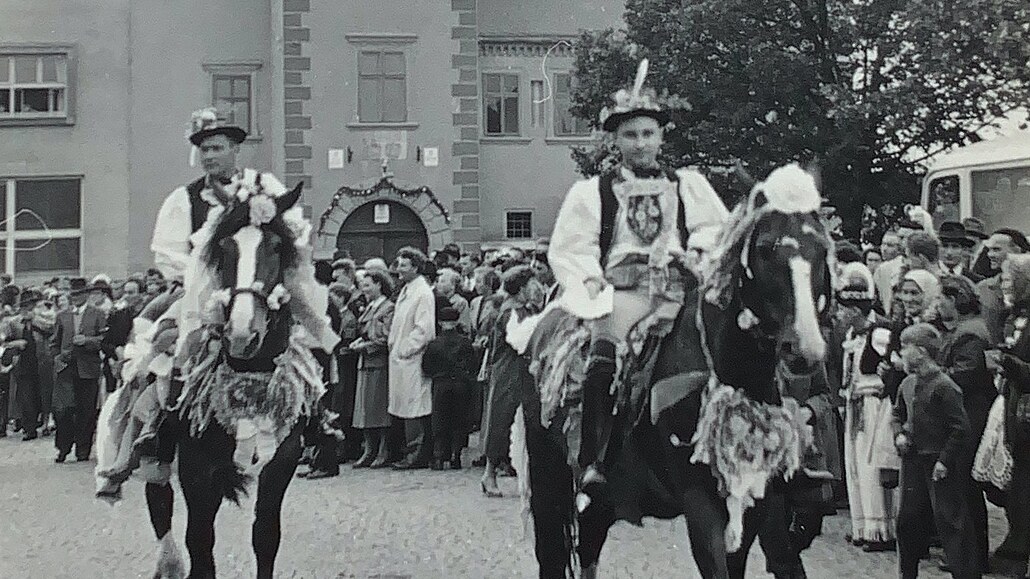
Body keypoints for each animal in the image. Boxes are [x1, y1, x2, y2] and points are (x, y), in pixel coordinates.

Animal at [515, 163, 836, 576]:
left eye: (822, 250)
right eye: (765, 250)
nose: (805, 348)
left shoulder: (753, 501)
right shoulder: (700, 505)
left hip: (602, 502)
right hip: (549, 473)